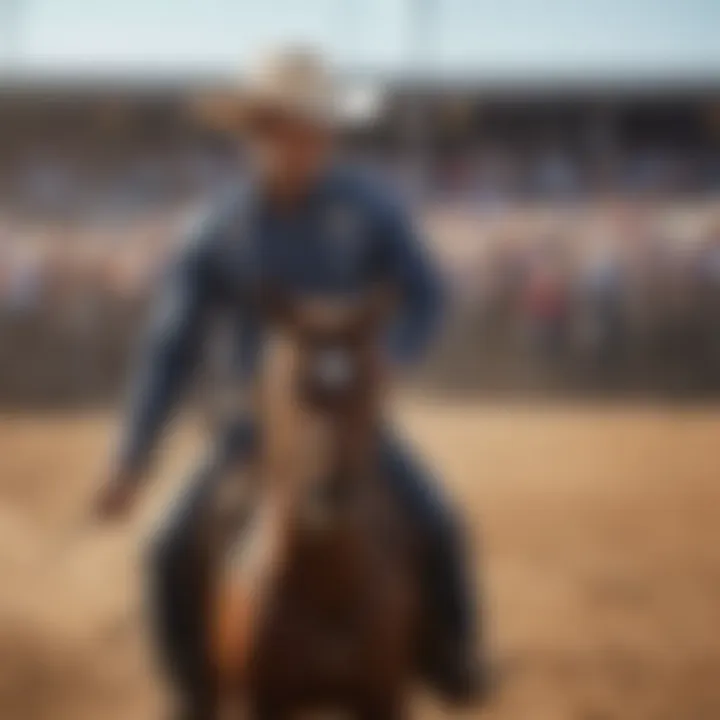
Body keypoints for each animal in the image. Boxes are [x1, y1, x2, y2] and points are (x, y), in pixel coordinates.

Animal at [208, 292, 420, 720]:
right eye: (294, 384)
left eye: (372, 385)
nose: (328, 498)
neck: (325, 588)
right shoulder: (257, 700)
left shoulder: (382, 696)